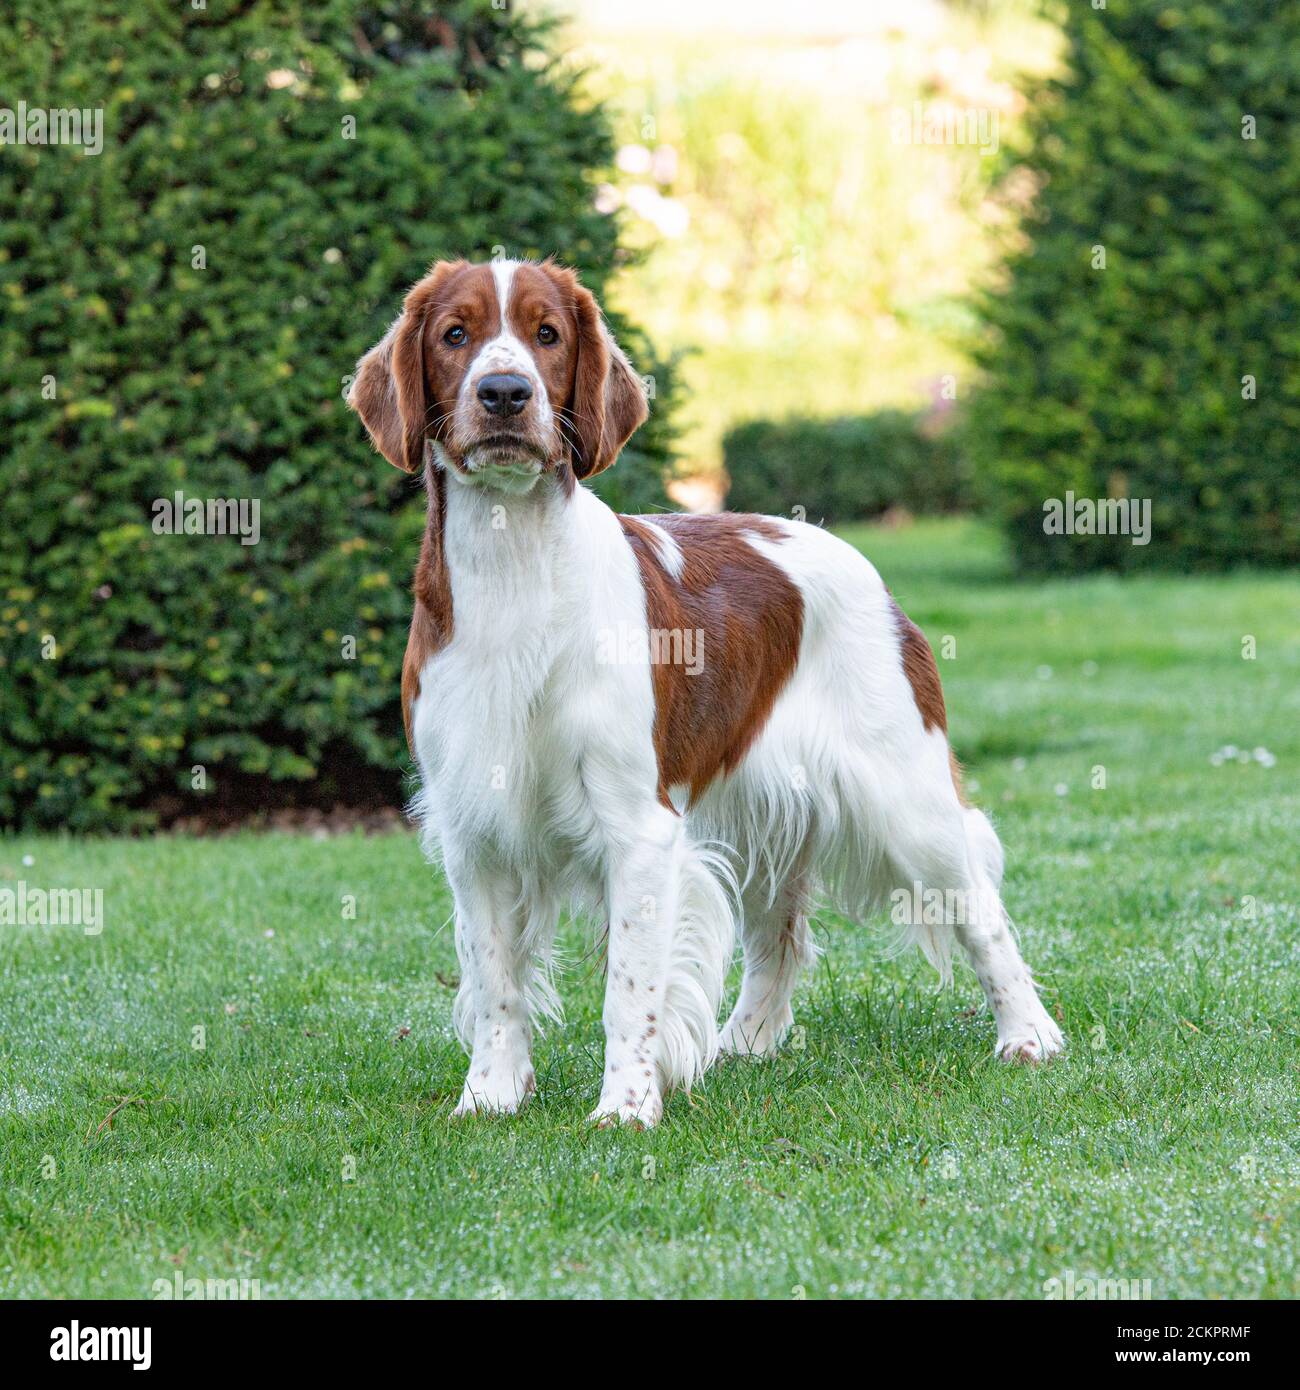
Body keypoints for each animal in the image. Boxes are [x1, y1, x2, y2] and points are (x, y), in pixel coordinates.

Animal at [350, 258, 1062, 1128]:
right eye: (456, 334)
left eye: (546, 333)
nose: (505, 393)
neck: (513, 563)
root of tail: (864, 566)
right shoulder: (474, 827)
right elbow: (493, 980)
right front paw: (489, 1095)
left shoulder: (637, 827)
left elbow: (628, 991)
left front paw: (626, 1107)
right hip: (757, 808)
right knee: (780, 934)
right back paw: (745, 1041)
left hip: (908, 798)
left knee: (981, 911)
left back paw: (1029, 1036)